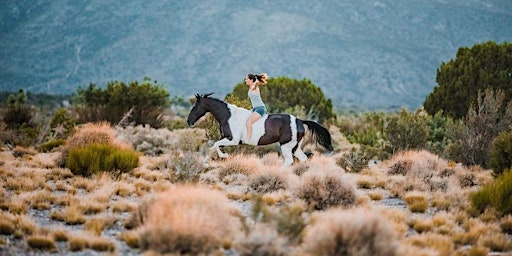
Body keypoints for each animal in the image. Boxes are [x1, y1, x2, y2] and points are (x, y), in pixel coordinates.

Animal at [186, 93, 334, 169]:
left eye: (195, 106)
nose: (189, 121)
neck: (229, 116)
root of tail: (299, 120)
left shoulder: (232, 140)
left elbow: (215, 145)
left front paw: (223, 156)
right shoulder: (226, 139)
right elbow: (214, 147)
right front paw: (207, 162)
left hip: (286, 146)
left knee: (289, 161)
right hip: (295, 147)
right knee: (303, 159)